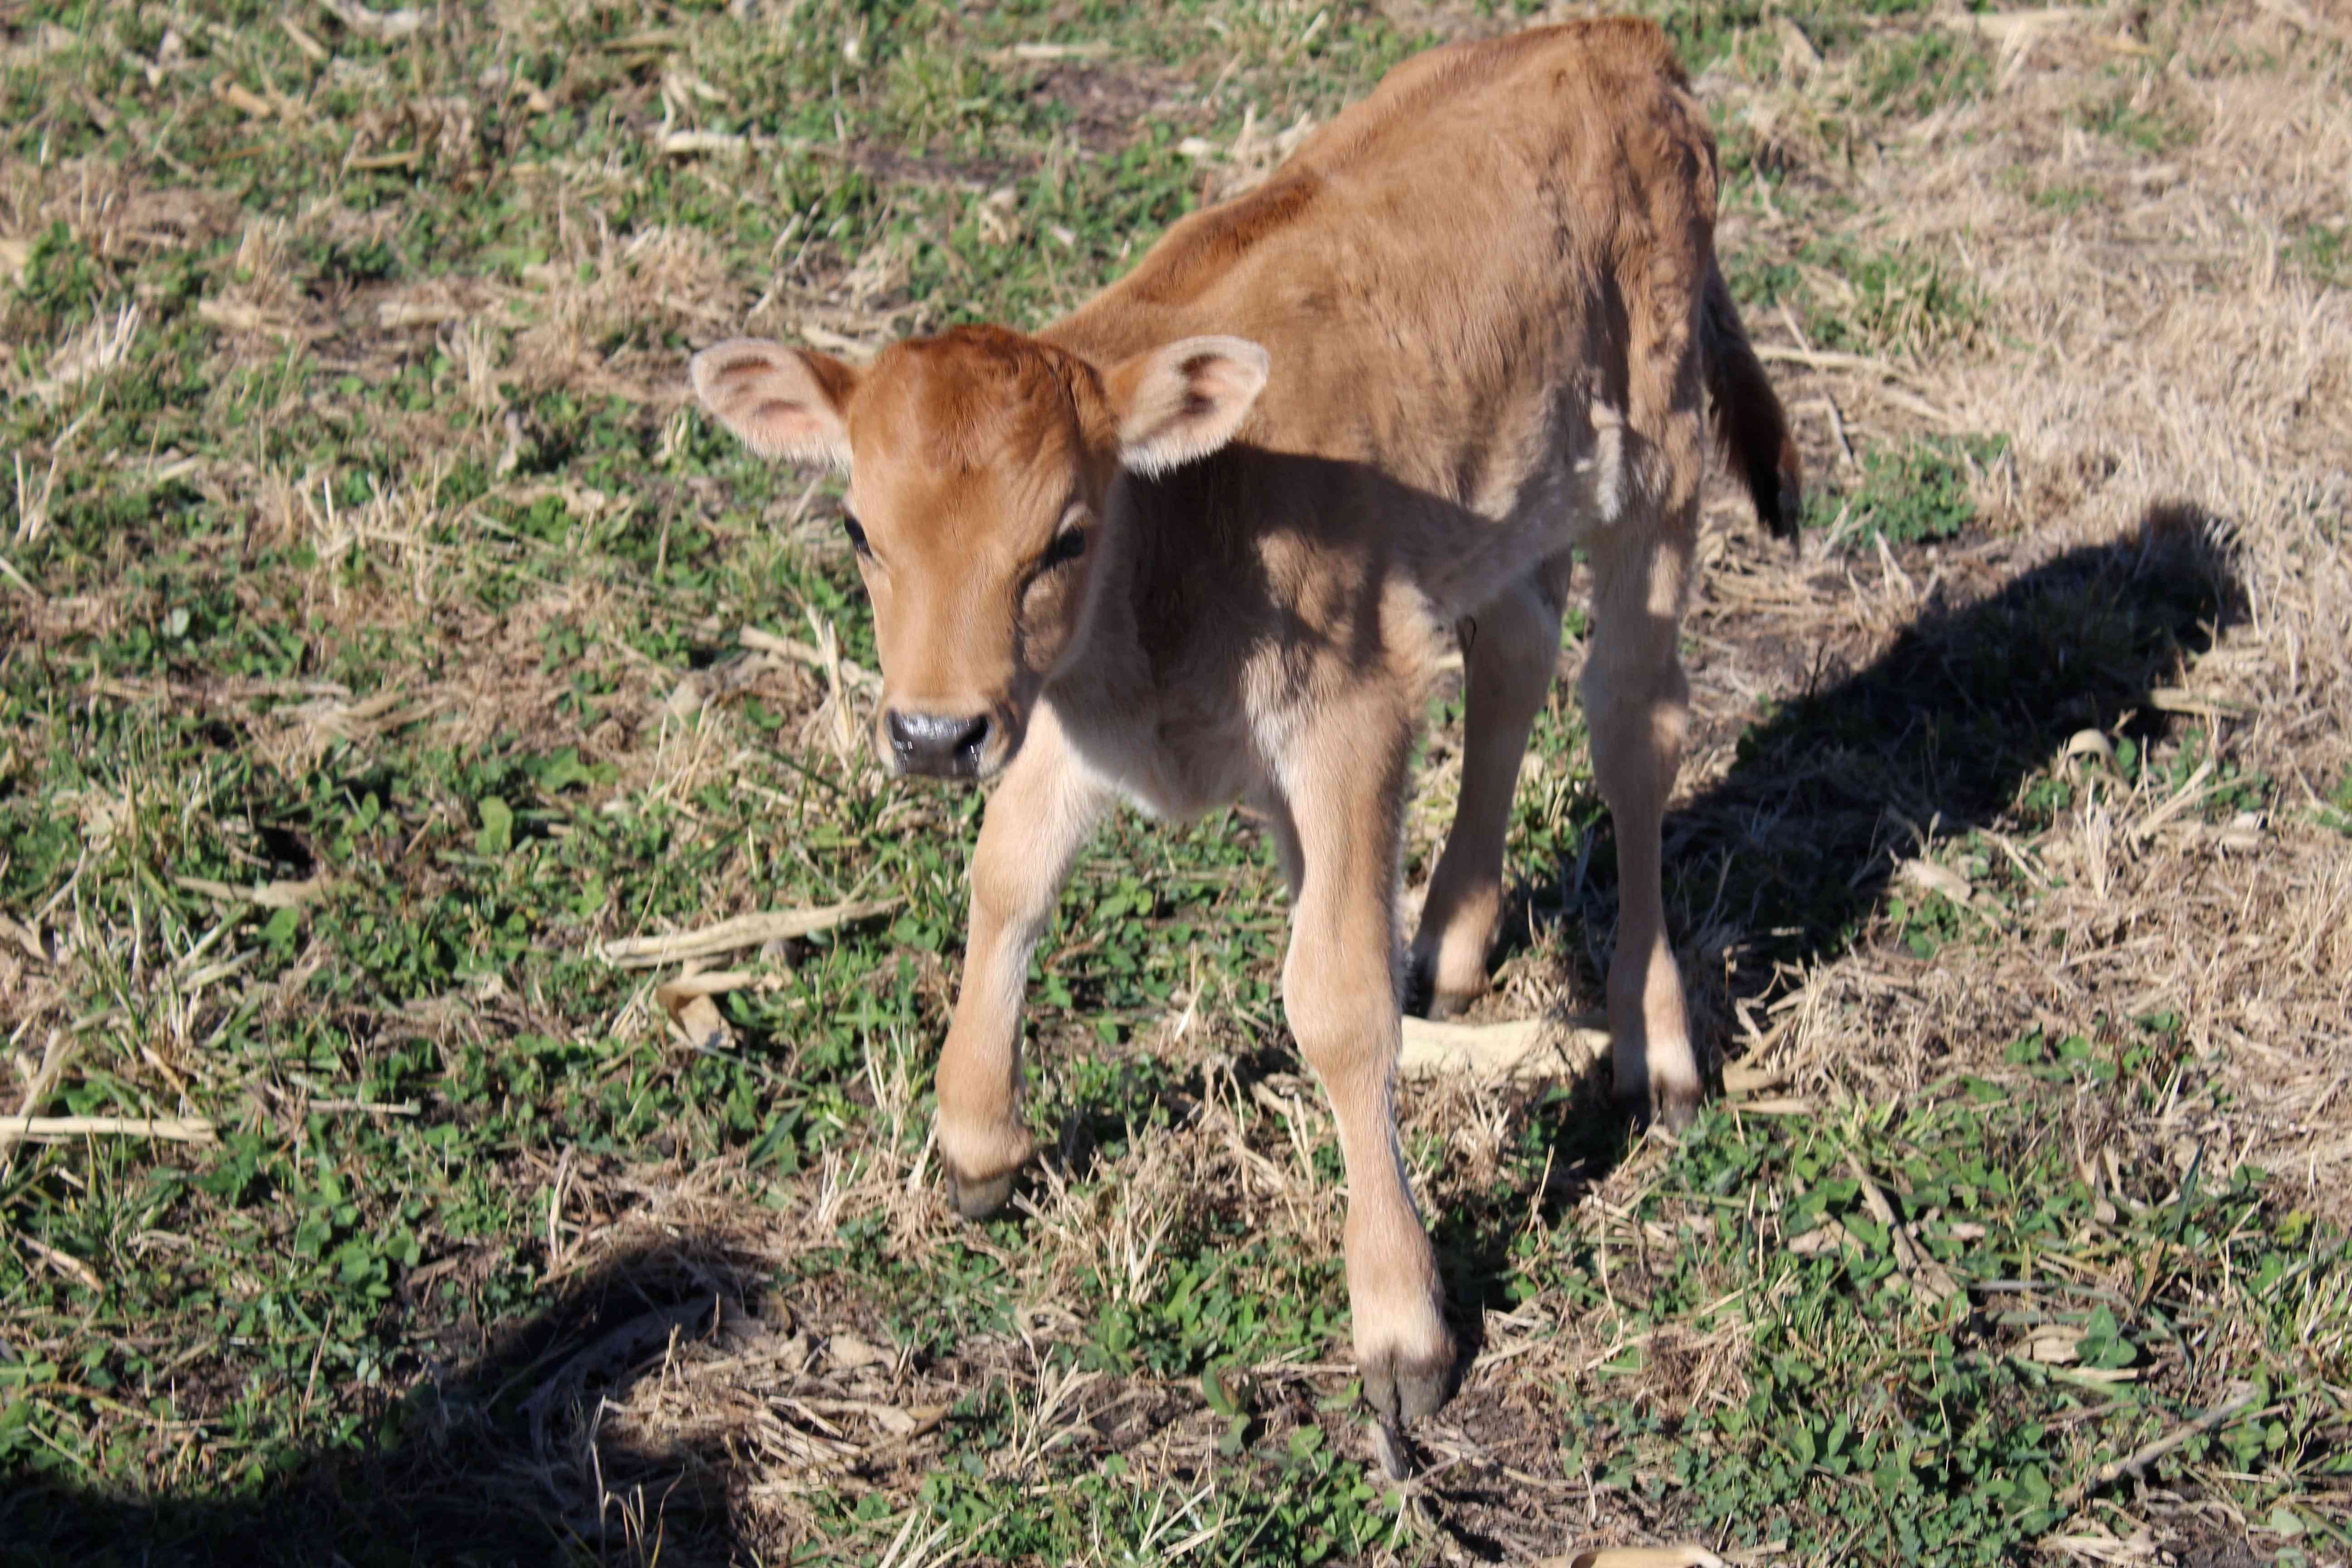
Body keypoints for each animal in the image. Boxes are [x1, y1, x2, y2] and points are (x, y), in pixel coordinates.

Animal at [691, 17, 1800, 1433]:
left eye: (1065, 537)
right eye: (857, 530)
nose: (932, 736)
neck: (1176, 526)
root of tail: (1619, 38)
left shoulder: (1351, 709)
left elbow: (1330, 993)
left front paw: (1401, 1328)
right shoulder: (1060, 714)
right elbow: (1009, 878)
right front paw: (978, 1142)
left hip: (1653, 469)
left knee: (1633, 727)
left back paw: (1653, 1050)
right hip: (1505, 504)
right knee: (1514, 654)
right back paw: (1452, 942)